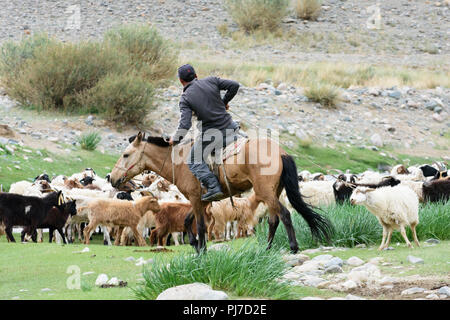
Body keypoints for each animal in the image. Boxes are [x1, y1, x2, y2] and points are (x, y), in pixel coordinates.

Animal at [110, 132, 334, 252]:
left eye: (126, 154)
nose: (112, 178)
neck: (179, 161)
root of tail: (281, 152)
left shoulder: (195, 198)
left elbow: (200, 226)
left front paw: (201, 250)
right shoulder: (202, 200)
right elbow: (188, 221)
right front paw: (195, 244)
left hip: (266, 193)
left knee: (285, 215)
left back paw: (293, 247)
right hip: (273, 193)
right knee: (274, 220)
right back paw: (267, 248)